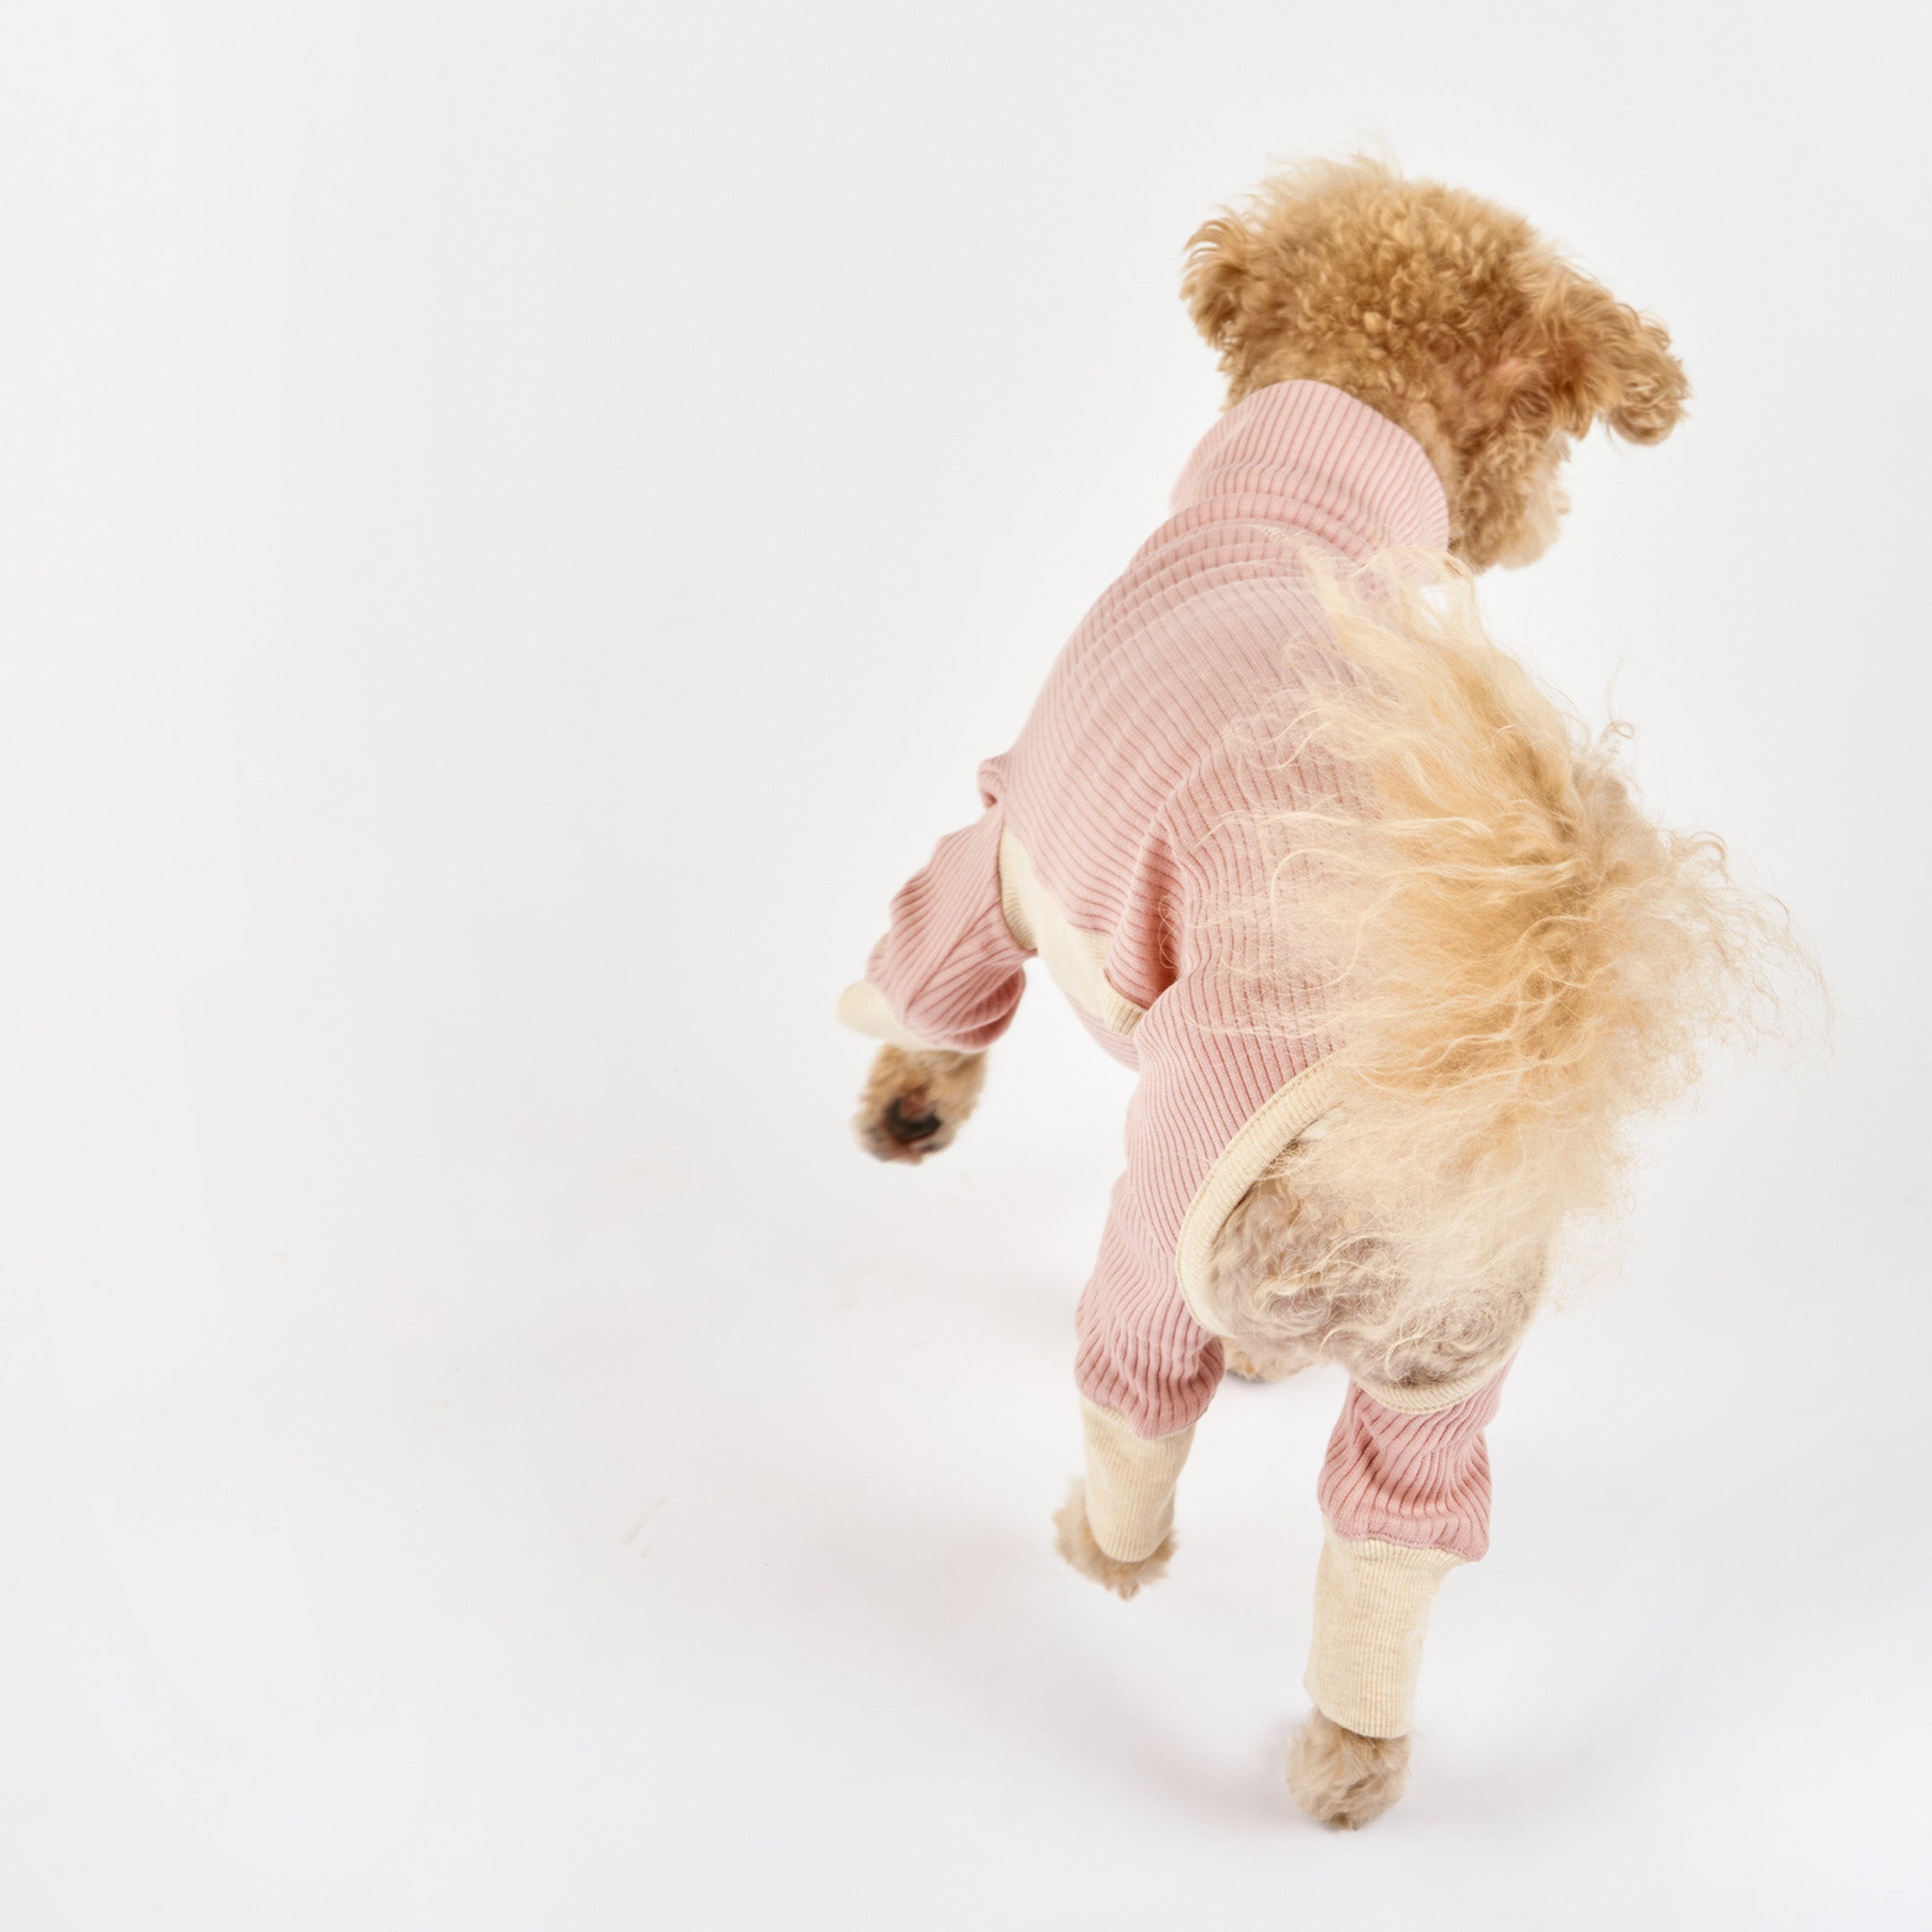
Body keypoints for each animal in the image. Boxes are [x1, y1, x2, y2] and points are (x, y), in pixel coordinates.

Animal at [838, 162, 1784, 1824]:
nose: (1540, 518)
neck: (1310, 484)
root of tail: (1472, 1062)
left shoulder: (1016, 833)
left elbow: (937, 975)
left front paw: (902, 1106)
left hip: (1173, 1200)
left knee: (1141, 1409)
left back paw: (1101, 1546)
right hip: (1454, 1342)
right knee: (1395, 1534)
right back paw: (1350, 1761)